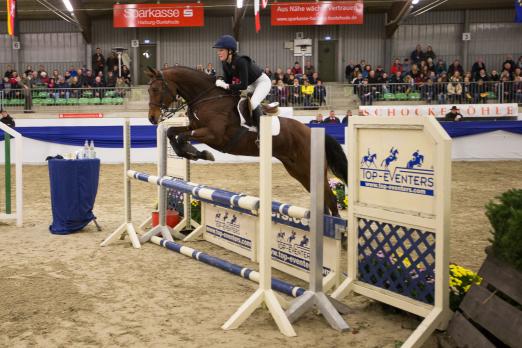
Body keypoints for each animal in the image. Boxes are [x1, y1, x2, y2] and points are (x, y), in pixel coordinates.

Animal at [144, 66, 348, 216]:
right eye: (148, 90)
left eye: (156, 89)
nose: (152, 118)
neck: (208, 98)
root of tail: (311, 131)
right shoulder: (194, 127)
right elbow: (172, 132)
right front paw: (194, 153)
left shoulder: (213, 135)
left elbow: (182, 137)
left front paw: (199, 153)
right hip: (298, 170)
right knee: (323, 199)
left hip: (308, 167)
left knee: (330, 199)